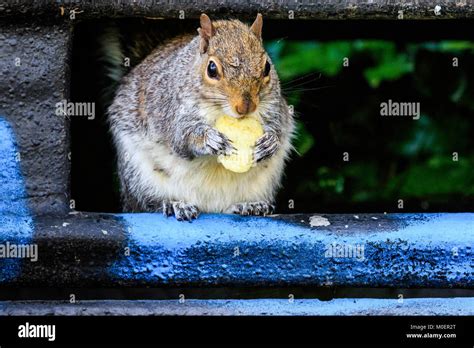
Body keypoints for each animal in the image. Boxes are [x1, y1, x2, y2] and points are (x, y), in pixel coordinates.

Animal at [105, 14, 294, 220]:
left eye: (267, 67)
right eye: (211, 69)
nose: (246, 107)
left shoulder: (276, 107)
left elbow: (279, 126)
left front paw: (270, 141)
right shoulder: (171, 110)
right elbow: (181, 139)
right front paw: (209, 139)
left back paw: (251, 205)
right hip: (139, 176)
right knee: (147, 205)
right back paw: (174, 204)